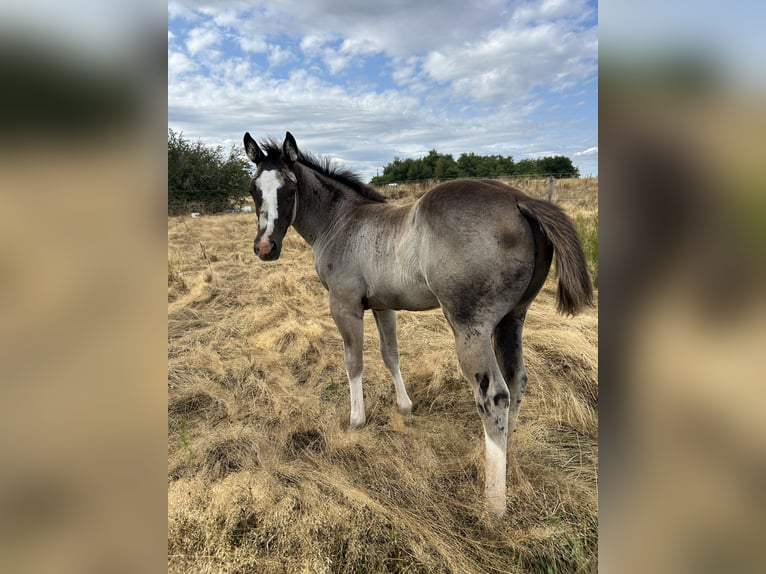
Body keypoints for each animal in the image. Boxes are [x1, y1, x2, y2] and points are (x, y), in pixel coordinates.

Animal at [243, 131, 593, 517]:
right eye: (253, 188)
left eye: (289, 189)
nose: (265, 248)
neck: (341, 222)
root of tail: (521, 200)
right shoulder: (383, 306)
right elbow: (390, 354)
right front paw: (405, 408)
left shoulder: (344, 305)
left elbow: (354, 361)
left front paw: (356, 421)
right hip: (511, 320)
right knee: (517, 383)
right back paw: (508, 461)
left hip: (470, 329)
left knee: (494, 396)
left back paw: (494, 501)